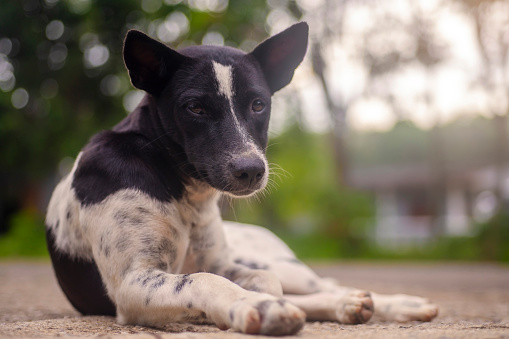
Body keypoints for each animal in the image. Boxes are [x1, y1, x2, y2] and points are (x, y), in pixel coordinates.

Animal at [45, 21, 438, 338]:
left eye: (259, 104)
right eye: (195, 108)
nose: (251, 170)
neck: (179, 186)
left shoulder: (225, 263)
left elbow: (261, 282)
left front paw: (261, 302)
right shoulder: (132, 282)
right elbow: (203, 280)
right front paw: (255, 307)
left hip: (279, 263)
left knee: (315, 285)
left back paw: (391, 303)